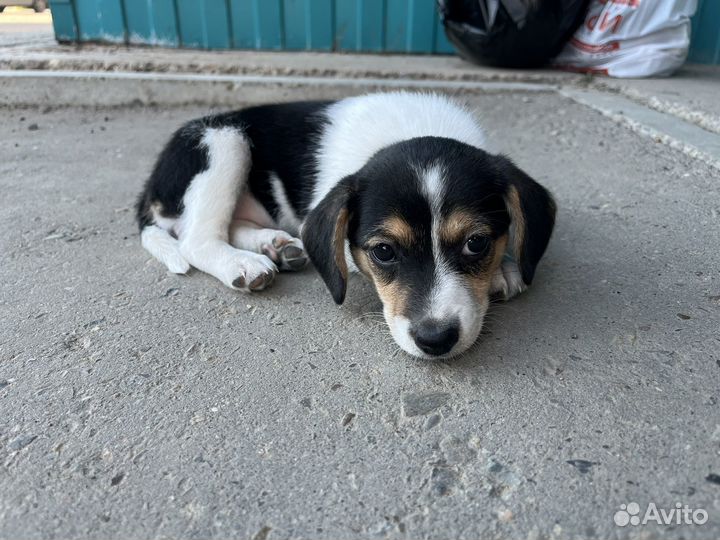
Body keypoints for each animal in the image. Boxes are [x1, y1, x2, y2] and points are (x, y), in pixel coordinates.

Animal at [136, 93, 556, 358]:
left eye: (476, 243)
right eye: (384, 251)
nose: (435, 340)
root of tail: (151, 180)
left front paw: (503, 268)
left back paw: (278, 245)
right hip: (222, 141)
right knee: (197, 238)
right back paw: (243, 263)